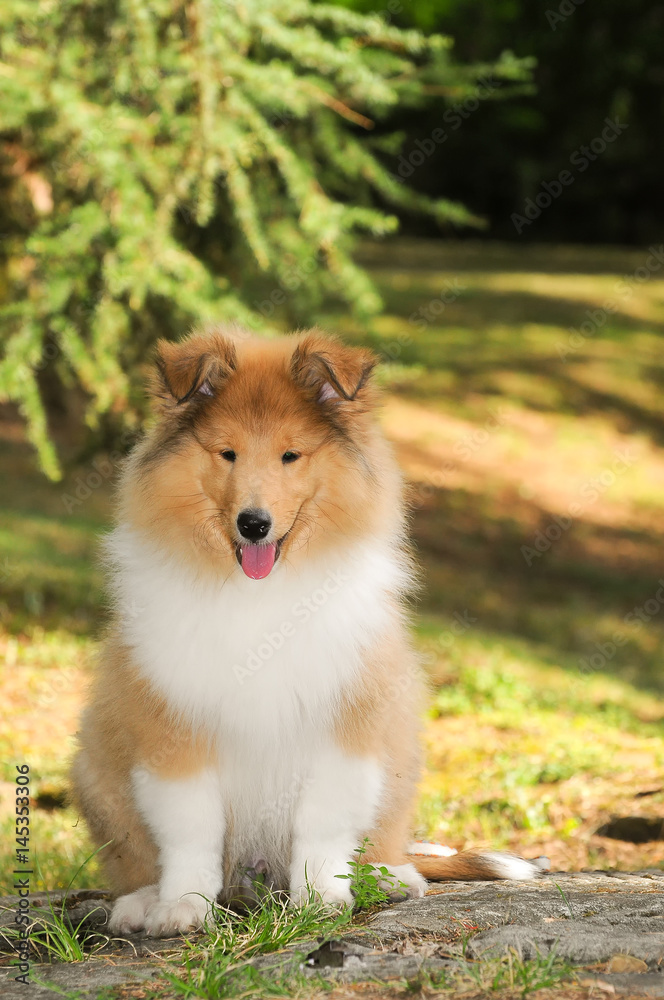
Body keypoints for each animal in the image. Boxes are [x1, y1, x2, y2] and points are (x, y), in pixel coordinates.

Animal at [72, 328, 540, 936]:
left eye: (290, 455)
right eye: (227, 453)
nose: (254, 524)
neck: (260, 595)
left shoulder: (343, 719)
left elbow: (322, 824)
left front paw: (319, 898)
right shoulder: (173, 724)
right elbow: (191, 828)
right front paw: (183, 908)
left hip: (398, 754)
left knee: (387, 841)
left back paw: (390, 878)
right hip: (97, 768)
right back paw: (138, 902)